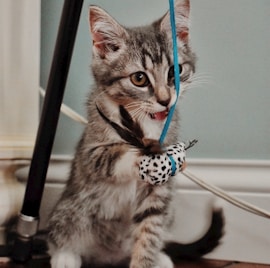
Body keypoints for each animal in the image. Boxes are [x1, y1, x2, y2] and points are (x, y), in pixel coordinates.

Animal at [48, 1, 224, 266]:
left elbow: (149, 230)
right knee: (59, 234)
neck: (146, 118)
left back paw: (161, 258)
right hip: (72, 209)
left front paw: (146, 259)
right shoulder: (91, 150)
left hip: (168, 211)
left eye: (175, 71)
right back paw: (66, 256)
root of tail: (109, 255)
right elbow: (111, 155)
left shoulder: (158, 195)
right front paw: (149, 157)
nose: (165, 100)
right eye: (139, 78)